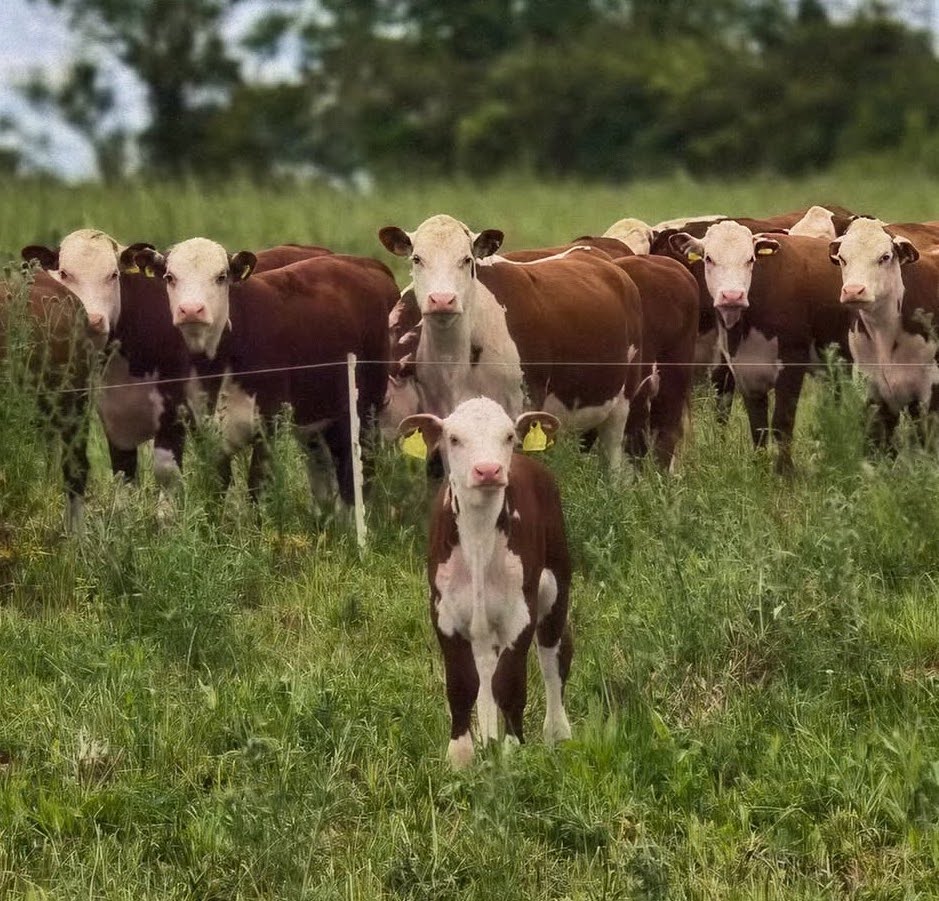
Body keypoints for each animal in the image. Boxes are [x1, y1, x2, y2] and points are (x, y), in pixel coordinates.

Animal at [133, 239, 397, 507]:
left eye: (221, 276)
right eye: (169, 277)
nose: (191, 309)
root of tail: (366, 263)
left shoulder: (268, 425)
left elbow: (258, 487)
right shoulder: (203, 429)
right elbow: (215, 488)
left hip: (366, 409)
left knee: (359, 468)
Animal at [399, 397, 571, 768]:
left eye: (508, 436)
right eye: (453, 438)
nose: (488, 470)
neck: (478, 539)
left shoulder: (521, 613)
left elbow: (510, 683)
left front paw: (512, 750)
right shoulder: (444, 613)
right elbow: (463, 684)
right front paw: (461, 756)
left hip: (557, 585)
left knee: (553, 656)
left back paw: (557, 734)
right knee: (485, 670)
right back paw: (486, 736)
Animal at [668, 222, 851, 472]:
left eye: (750, 259)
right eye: (709, 258)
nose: (732, 295)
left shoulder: (791, 363)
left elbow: (782, 423)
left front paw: (785, 471)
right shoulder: (744, 370)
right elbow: (758, 427)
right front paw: (761, 468)